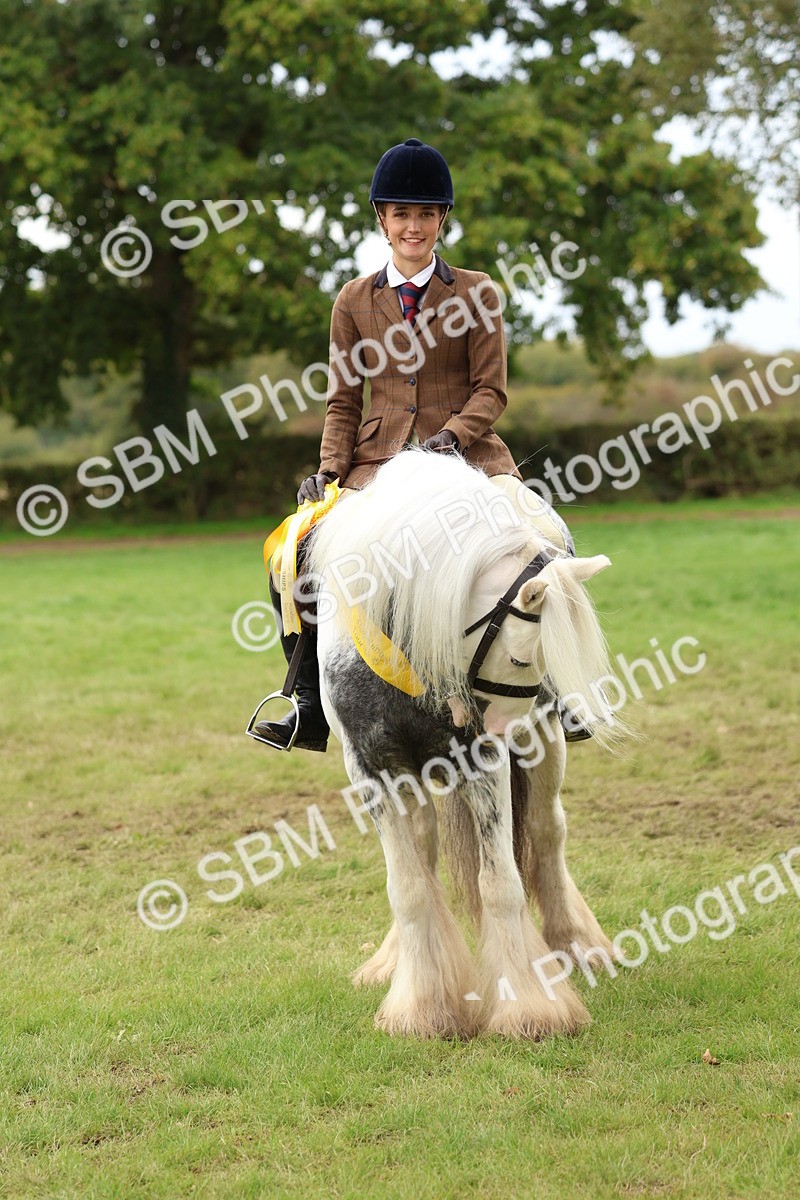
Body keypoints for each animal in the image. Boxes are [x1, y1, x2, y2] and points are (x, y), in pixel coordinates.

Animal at [306, 449, 620, 1040]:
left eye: (546, 659)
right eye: (519, 657)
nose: (508, 736)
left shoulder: (483, 760)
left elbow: (500, 883)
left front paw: (529, 1009)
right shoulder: (371, 767)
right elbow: (409, 887)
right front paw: (420, 1009)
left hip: (545, 749)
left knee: (546, 830)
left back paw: (576, 945)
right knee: (425, 851)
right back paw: (392, 963)